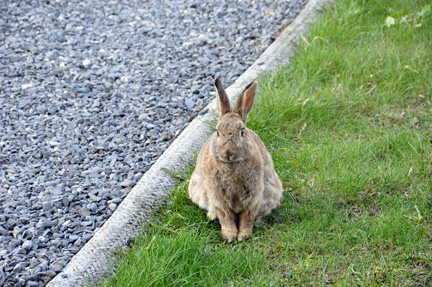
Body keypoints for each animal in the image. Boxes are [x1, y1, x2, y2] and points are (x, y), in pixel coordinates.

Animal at [189, 79, 284, 243]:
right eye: (217, 132)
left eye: (242, 131)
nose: (228, 153)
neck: (231, 165)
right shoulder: (218, 197)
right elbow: (226, 216)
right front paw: (229, 235)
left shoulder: (254, 195)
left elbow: (247, 216)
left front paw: (243, 235)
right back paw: (212, 215)